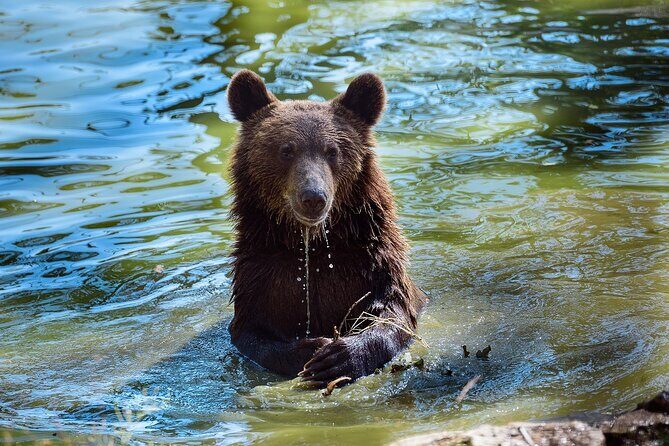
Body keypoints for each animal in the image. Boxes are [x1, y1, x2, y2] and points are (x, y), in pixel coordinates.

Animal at [226, 69, 426, 388]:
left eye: (332, 151)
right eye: (286, 150)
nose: (313, 197)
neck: (313, 244)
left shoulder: (372, 262)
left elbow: (394, 313)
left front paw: (338, 357)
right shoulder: (260, 272)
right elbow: (251, 332)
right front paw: (308, 350)